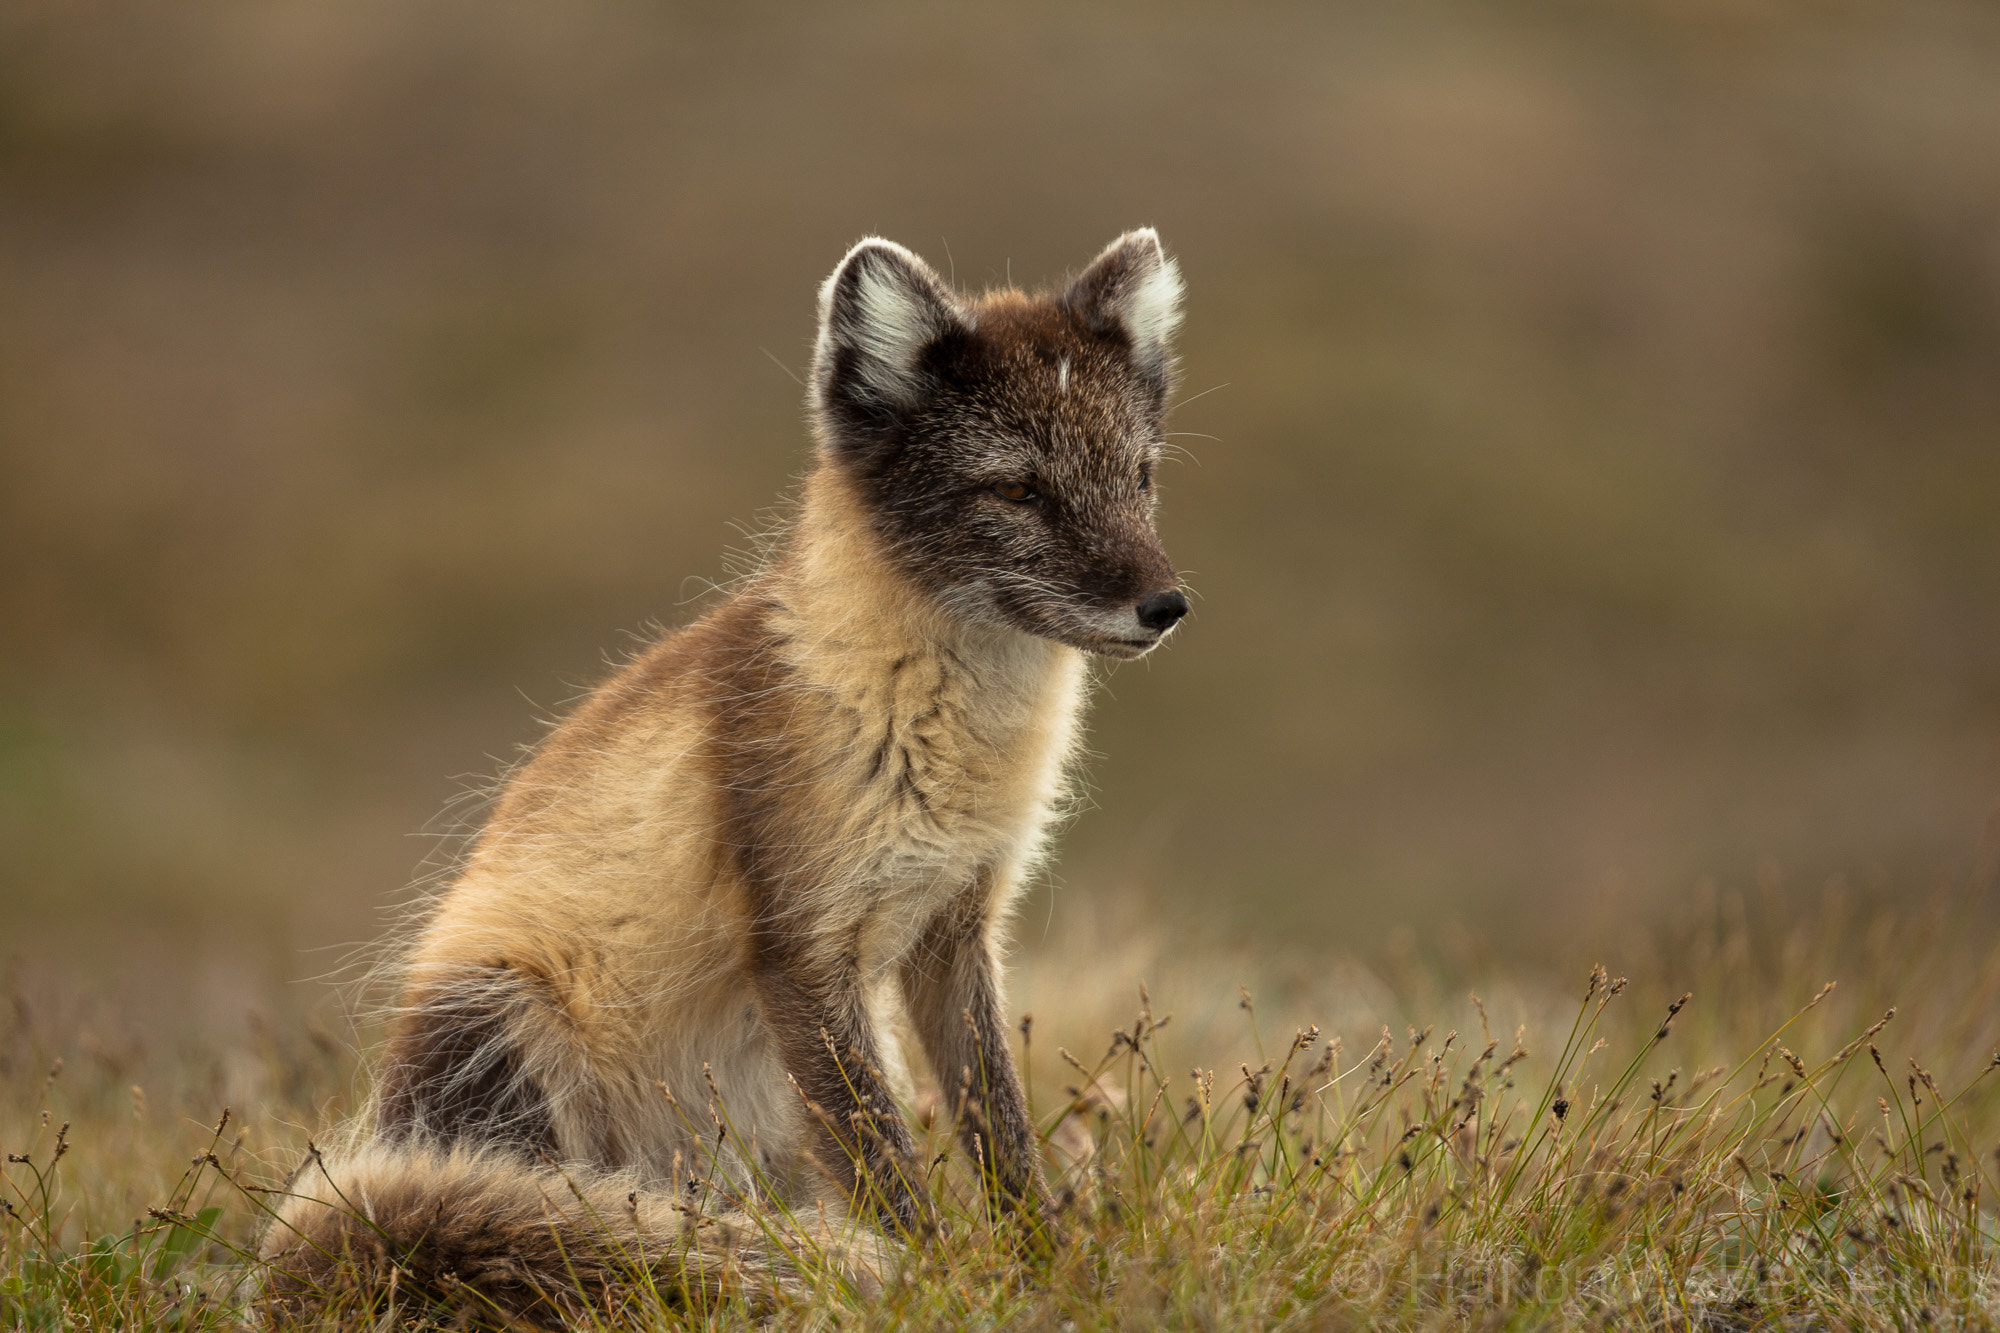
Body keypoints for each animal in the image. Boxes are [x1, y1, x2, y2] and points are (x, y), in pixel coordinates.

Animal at [260, 229, 1191, 1323]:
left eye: (1139, 477)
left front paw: (1048, 1270)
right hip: (511, 1018)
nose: (1166, 604)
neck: (937, 723)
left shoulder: (956, 931)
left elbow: (1000, 1134)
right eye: (1017, 491)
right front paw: (939, 1286)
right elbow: (888, 1168)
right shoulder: (803, 950)